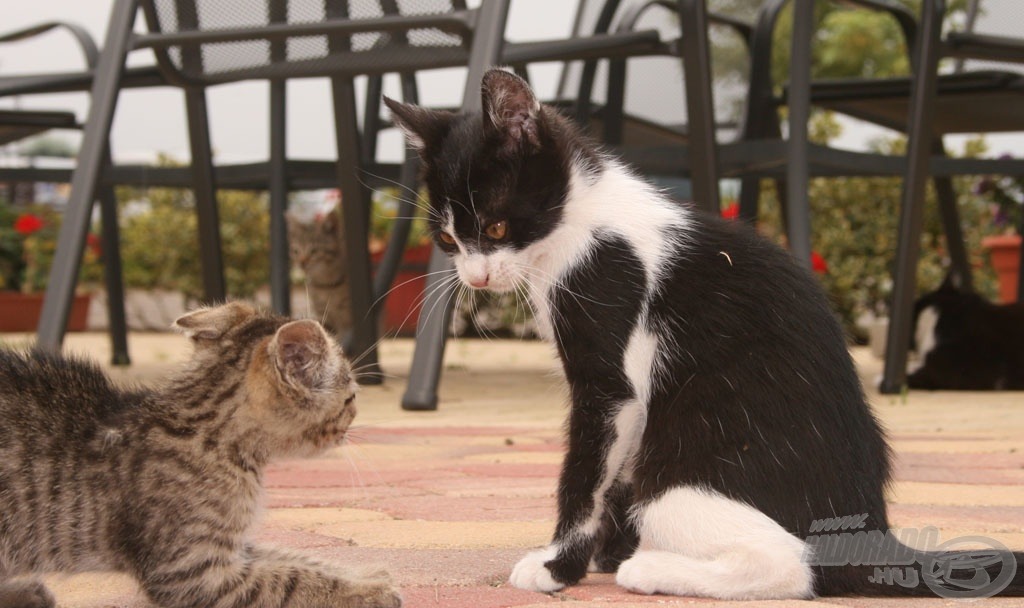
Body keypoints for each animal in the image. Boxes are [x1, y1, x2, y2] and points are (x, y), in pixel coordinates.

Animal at [0, 300, 399, 605]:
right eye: (351, 397)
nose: (355, 418)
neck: (210, 436)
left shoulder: (231, 548)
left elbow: (291, 557)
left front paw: (366, 575)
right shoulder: (191, 571)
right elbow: (287, 579)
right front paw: (366, 592)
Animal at [286, 203, 354, 335]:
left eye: (314, 251)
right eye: (296, 251)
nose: (302, 263)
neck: (325, 284)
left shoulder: (348, 316)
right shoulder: (323, 314)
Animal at [385, 69, 1024, 597]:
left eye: (495, 227)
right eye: (447, 240)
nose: (475, 276)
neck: (582, 220)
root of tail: (872, 530)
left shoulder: (610, 365)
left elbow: (587, 473)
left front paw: (557, 566)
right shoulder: (633, 401)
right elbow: (616, 472)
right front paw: (602, 553)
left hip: (684, 481)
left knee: (790, 565)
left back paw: (650, 568)